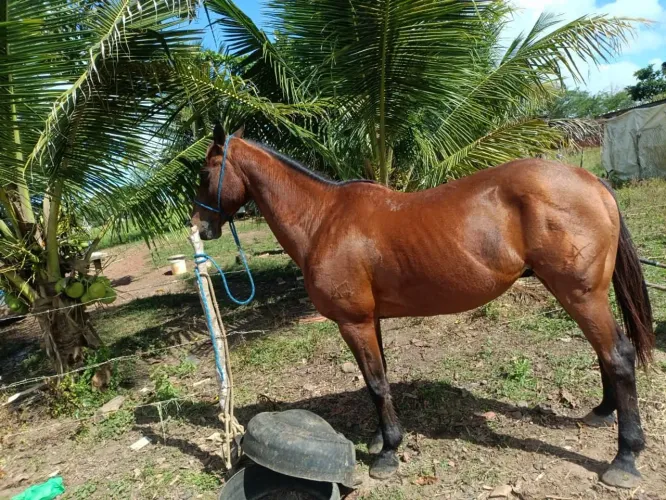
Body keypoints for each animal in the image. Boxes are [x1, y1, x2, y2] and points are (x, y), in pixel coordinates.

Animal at [190, 124, 654, 489]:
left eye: (204, 172)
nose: (200, 226)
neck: (324, 219)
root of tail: (591, 181)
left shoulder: (354, 322)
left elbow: (376, 383)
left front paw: (387, 454)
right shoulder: (370, 320)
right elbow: (377, 379)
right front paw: (381, 438)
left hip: (579, 295)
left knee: (618, 355)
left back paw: (625, 459)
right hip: (585, 296)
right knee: (605, 352)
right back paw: (602, 413)